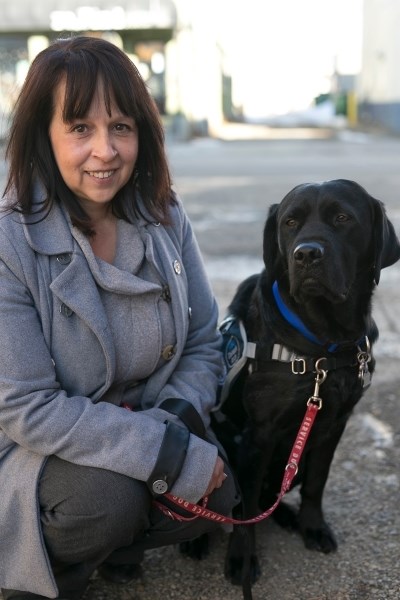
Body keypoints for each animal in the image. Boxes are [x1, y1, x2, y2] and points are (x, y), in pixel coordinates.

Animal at [214, 178, 400, 592]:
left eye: (343, 218)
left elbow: (317, 481)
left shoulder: (334, 423)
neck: (324, 342)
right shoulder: (259, 434)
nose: (306, 254)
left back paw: (286, 514)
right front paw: (243, 558)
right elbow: (245, 506)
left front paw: (312, 526)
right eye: (290, 222)